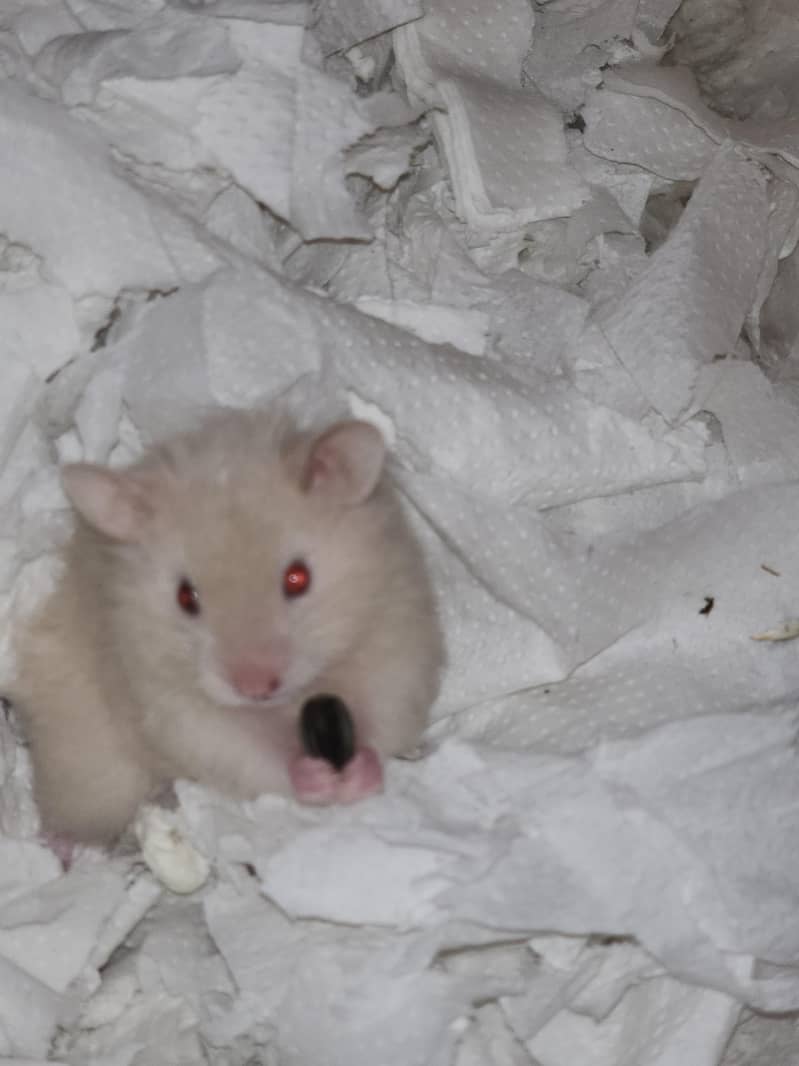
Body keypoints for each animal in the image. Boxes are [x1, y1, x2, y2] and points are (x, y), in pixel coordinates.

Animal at [12, 408, 444, 846]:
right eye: (186, 597)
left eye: (298, 578)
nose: (256, 688)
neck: (285, 704)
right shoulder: (175, 708)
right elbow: (254, 753)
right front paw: (317, 777)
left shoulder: (397, 642)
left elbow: (382, 721)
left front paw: (358, 773)